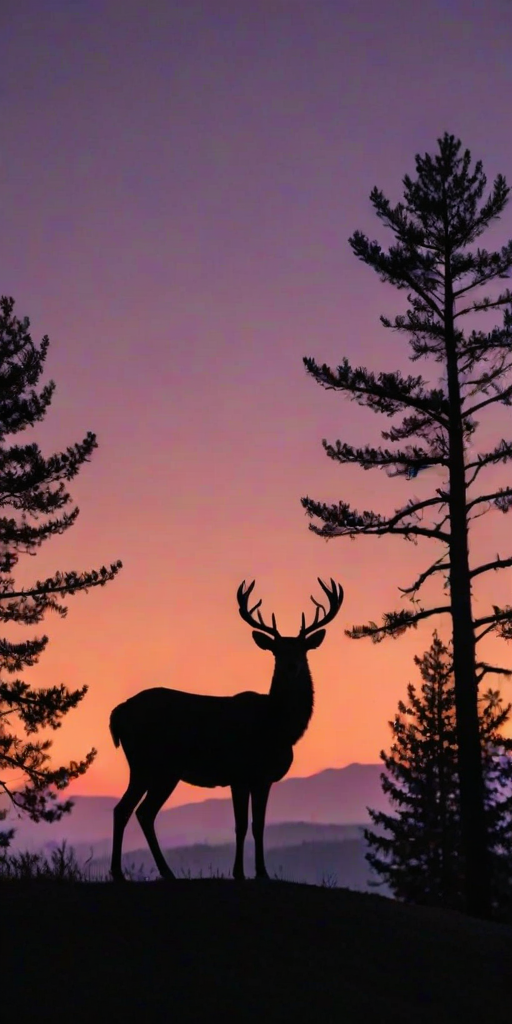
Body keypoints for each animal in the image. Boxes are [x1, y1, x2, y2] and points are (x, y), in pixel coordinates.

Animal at [109, 577, 344, 882]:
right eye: (277, 651)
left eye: (302, 650)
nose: (291, 666)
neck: (278, 727)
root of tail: (118, 713)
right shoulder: (240, 773)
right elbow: (241, 825)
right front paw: (240, 873)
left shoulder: (262, 778)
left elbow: (258, 825)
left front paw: (261, 873)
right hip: (152, 765)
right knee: (136, 811)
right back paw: (140, 872)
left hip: (152, 769)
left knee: (131, 811)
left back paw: (141, 872)